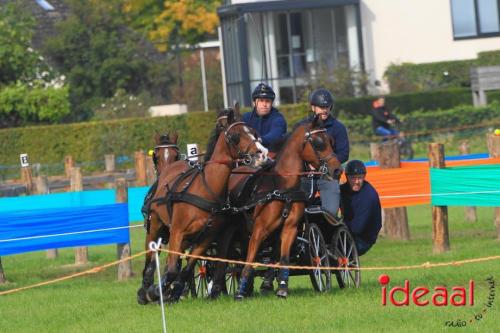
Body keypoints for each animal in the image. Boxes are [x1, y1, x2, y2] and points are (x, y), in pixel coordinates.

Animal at [137, 107, 270, 304]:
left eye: (254, 133)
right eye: (235, 136)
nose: (263, 154)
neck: (206, 188)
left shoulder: (206, 238)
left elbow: (184, 269)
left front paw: (173, 291)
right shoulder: (177, 232)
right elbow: (172, 268)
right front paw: (157, 291)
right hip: (155, 227)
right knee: (150, 261)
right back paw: (145, 290)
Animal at [232, 115, 342, 298]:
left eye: (332, 141)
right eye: (319, 142)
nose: (338, 171)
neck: (282, 187)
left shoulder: (290, 227)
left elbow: (283, 257)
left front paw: (282, 287)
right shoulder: (259, 229)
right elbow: (250, 258)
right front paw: (240, 291)